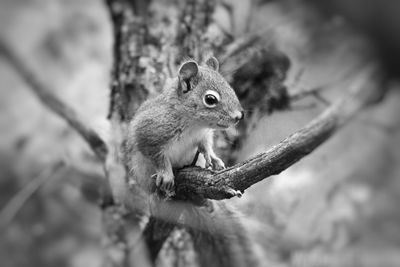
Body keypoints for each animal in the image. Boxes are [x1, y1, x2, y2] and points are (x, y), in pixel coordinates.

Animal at [125, 57, 244, 195]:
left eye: (230, 89)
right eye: (210, 99)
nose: (239, 116)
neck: (194, 125)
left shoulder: (203, 134)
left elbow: (205, 145)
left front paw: (212, 157)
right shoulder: (147, 132)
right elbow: (157, 157)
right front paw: (166, 174)